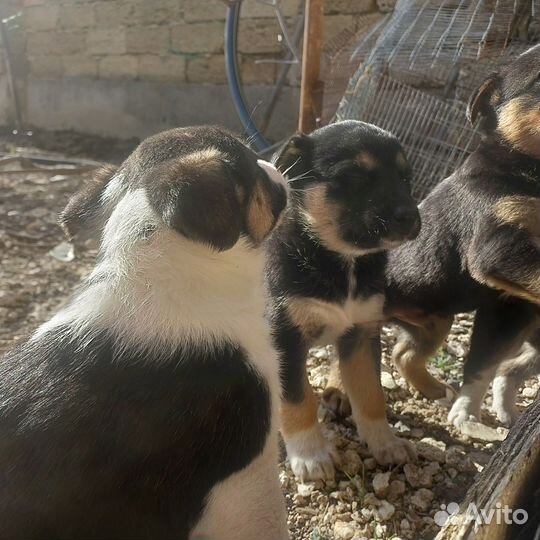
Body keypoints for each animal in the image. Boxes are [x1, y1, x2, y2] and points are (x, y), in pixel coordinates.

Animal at [268, 121, 420, 480]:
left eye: (405, 178)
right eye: (352, 177)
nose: (411, 216)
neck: (342, 261)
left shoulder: (363, 331)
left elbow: (370, 393)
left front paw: (385, 443)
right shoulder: (285, 342)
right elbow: (298, 401)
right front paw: (311, 455)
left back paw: (338, 390)